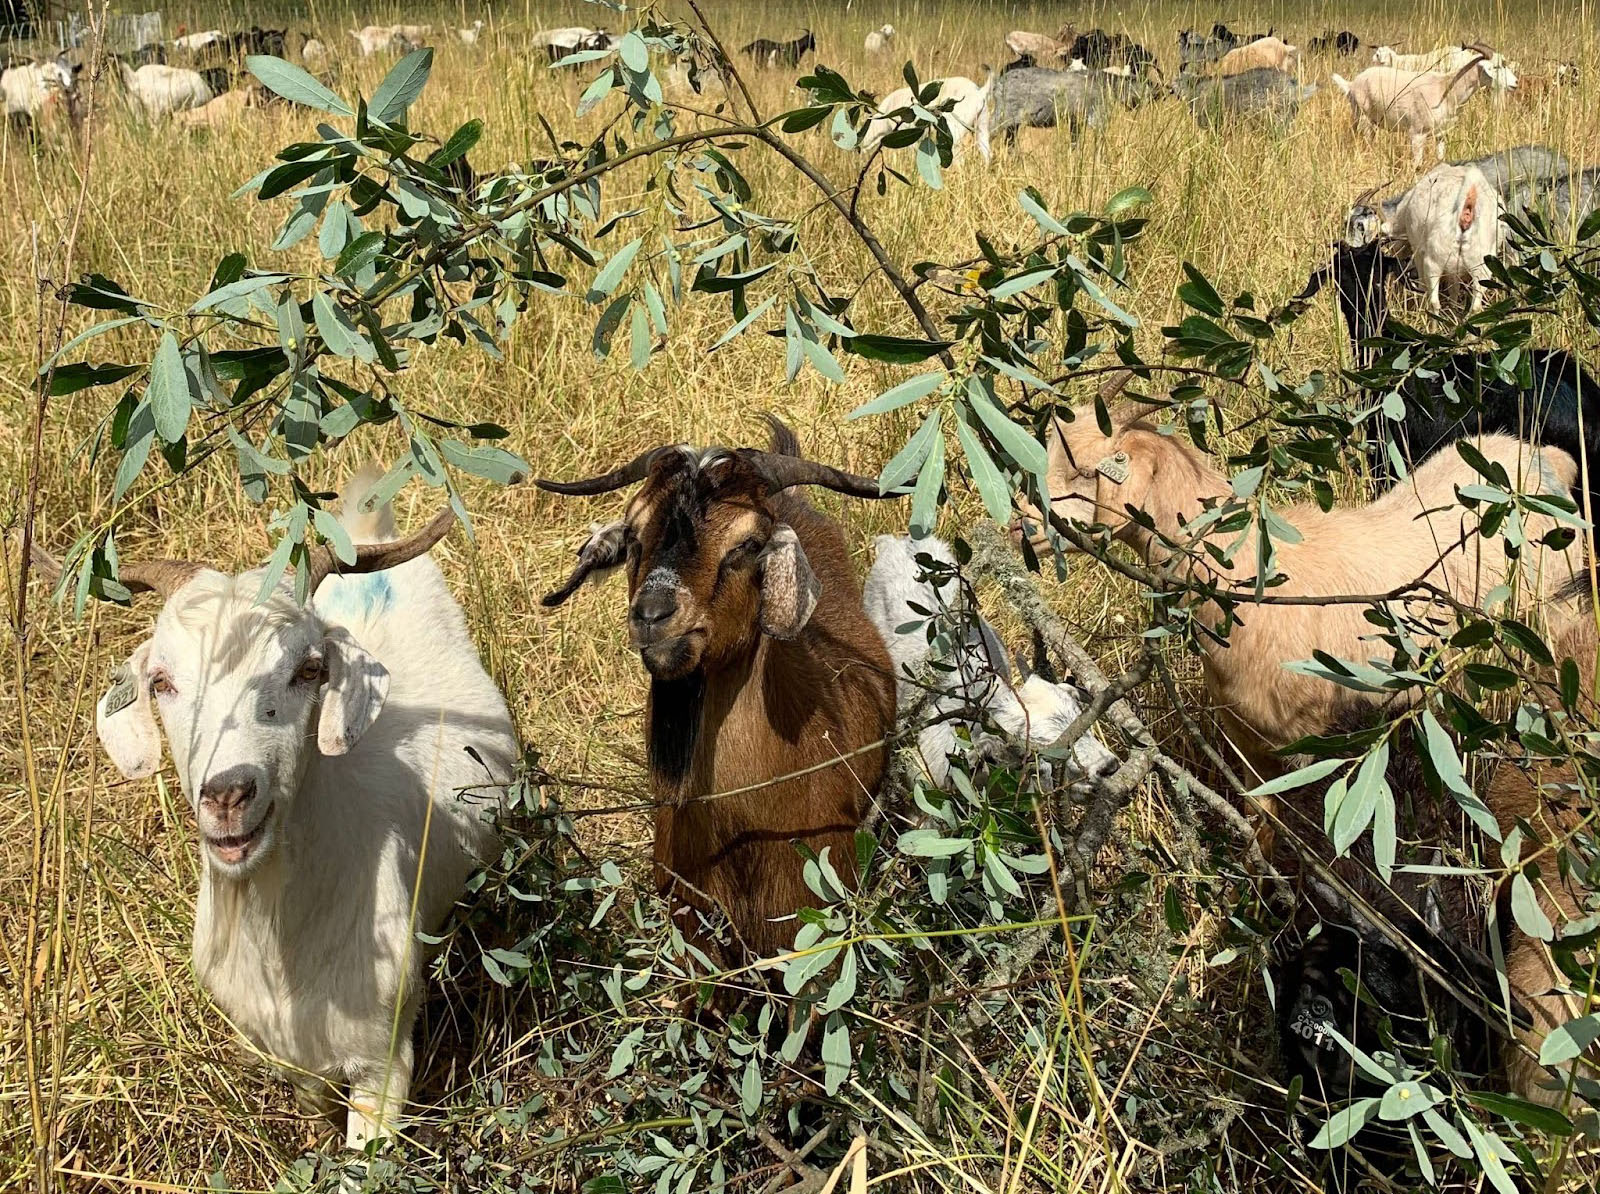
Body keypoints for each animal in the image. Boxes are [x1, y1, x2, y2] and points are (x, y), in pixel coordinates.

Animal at [1401, 162, 1497, 312]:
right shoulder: (1455, 269)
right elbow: (1454, 289)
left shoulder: (1418, 253)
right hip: (1481, 264)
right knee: (1476, 304)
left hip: (1434, 260)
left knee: (1434, 300)